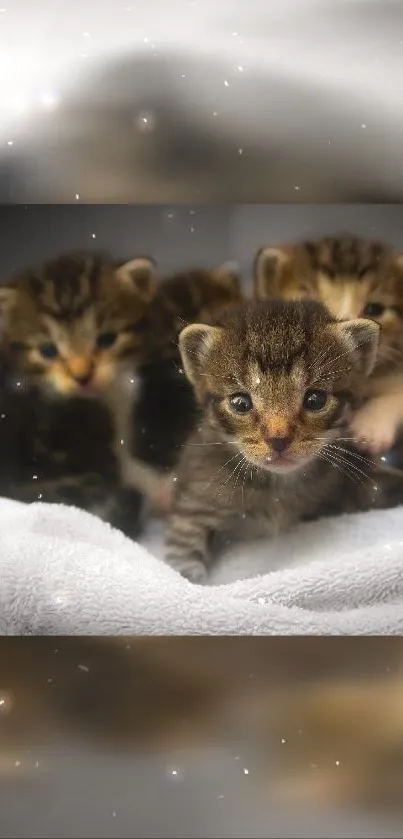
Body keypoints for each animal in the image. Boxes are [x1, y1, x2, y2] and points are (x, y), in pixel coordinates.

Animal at [166, 298, 384, 580]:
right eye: (240, 403)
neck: (277, 487)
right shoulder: (194, 502)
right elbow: (183, 553)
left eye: (315, 400)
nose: (278, 439)